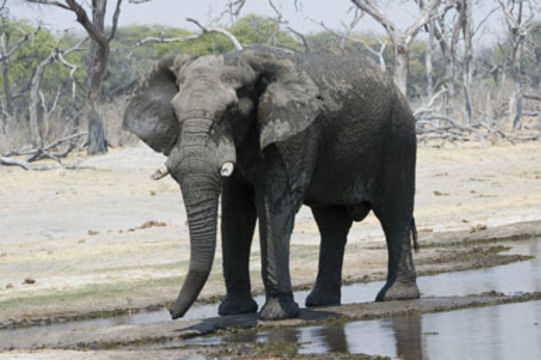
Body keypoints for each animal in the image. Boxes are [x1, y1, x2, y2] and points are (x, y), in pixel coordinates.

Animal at [123, 45, 422, 320]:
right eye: (175, 113)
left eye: (231, 110)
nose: (172, 313)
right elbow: (236, 211)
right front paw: (234, 311)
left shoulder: (292, 135)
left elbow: (274, 206)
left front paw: (277, 315)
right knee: (331, 222)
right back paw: (321, 302)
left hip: (399, 138)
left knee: (392, 212)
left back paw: (395, 296)